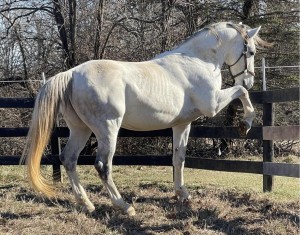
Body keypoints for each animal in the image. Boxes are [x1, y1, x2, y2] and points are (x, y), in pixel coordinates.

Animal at [21, 22, 270, 217]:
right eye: (251, 52)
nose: (249, 80)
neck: (198, 61)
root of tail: (71, 74)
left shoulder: (182, 124)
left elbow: (178, 158)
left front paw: (182, 194)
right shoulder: (213, 105)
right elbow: (240, 92)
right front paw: (246, 123)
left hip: (80, 129)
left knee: (69, 159)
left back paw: (87, 204)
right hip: (107, 129)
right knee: (102, 165)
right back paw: (124, 206)